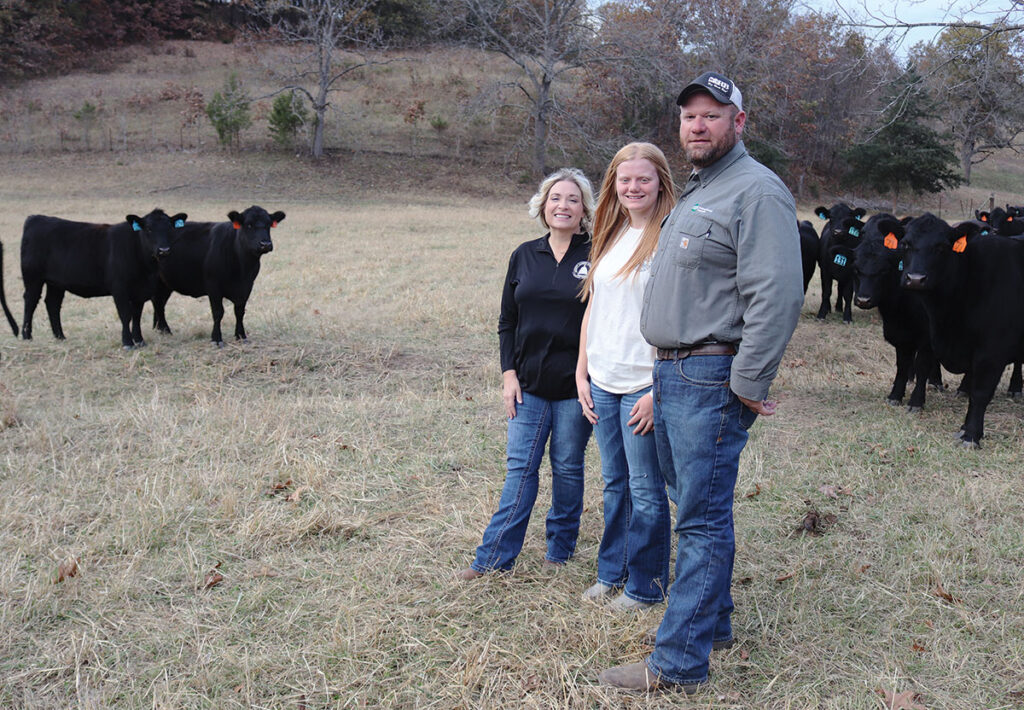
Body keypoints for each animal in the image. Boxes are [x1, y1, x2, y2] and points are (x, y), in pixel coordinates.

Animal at [20, 205, 186, 348]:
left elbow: (137, 315)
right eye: (149, 229)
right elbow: (125, 315)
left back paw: (60, 337)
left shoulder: (141, 290)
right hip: (32, 277)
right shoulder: (119, 288)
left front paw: (139, 341)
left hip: (56, 282)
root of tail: (36, 218)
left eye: (170, 228)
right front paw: (127, 343)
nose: (164, 250)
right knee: (30, 301)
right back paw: (27, 336)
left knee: (53, 304)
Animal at [149, 204, 284, 346]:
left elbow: (240, 311)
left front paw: (241, 335)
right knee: (158, 302)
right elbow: (218, 312)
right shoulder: (213, 286)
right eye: (249, 225)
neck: (241, 268)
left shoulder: (247, 286)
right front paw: (216, 338)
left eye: (268, 224)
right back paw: (165, 329)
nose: (265, 244)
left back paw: (160, 329)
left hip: (165, 283)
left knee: (159, 302)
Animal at [851, 212, 937, 409]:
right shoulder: (900, 336)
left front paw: (916, 401)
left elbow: (923, 366)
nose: (863, 300)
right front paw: (895, 395)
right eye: (857, 270)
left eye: (883, 270)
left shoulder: (927, 338)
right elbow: (902, 365)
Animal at [897, 210, 1024, 446]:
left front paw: (972, 435)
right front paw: (965, 427)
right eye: (905, 244)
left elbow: (980, 392)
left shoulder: (991, 352)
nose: (916, 279)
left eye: (941, 247)